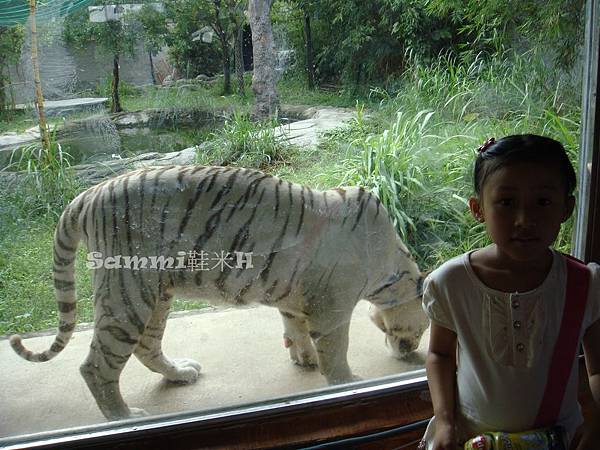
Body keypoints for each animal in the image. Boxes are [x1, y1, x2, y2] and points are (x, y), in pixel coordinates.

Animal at [11, 166, 428, 422]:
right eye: (424, 328)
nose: (411, 351)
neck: (393, 271)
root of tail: (87, 194)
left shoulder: (296, 299)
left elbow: (295, 329)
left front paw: (303, 358)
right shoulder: (332, 308)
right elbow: (336, 351)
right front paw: (347, 382)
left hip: (156, 294)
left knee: (147, 346)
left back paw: (180, 373)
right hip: (127, 290)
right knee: (97, 365)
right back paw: (123, 418)